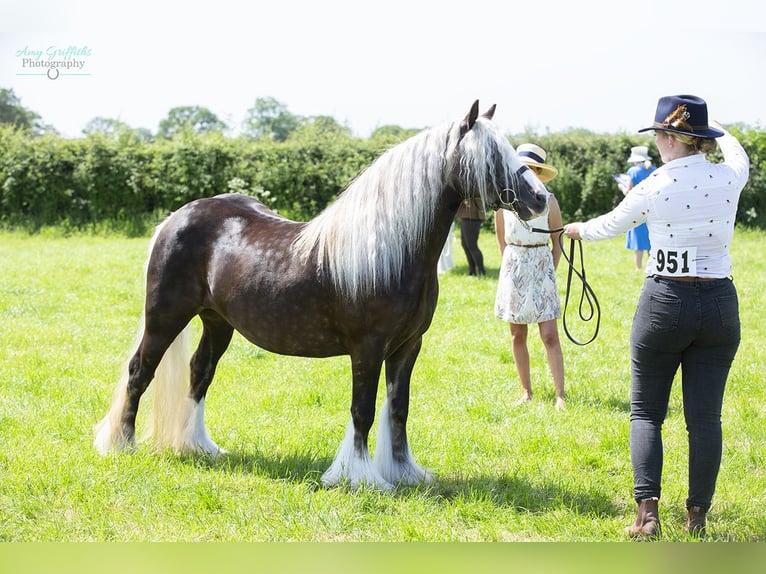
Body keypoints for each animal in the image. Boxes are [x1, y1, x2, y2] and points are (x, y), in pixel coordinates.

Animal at [94, 100, 550, 490]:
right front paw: (358, 478)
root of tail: (177, 217)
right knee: (140, 371)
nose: (541, 198)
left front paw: (403, 472)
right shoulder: (368, 348)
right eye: (492, 156)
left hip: (217, 322)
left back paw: (198, 445)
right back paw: (123, 444)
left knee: (199, 372)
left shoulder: (408, 347)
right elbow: (364, 410)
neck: (390, 250)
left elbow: (398, 409)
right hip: (166, 317)